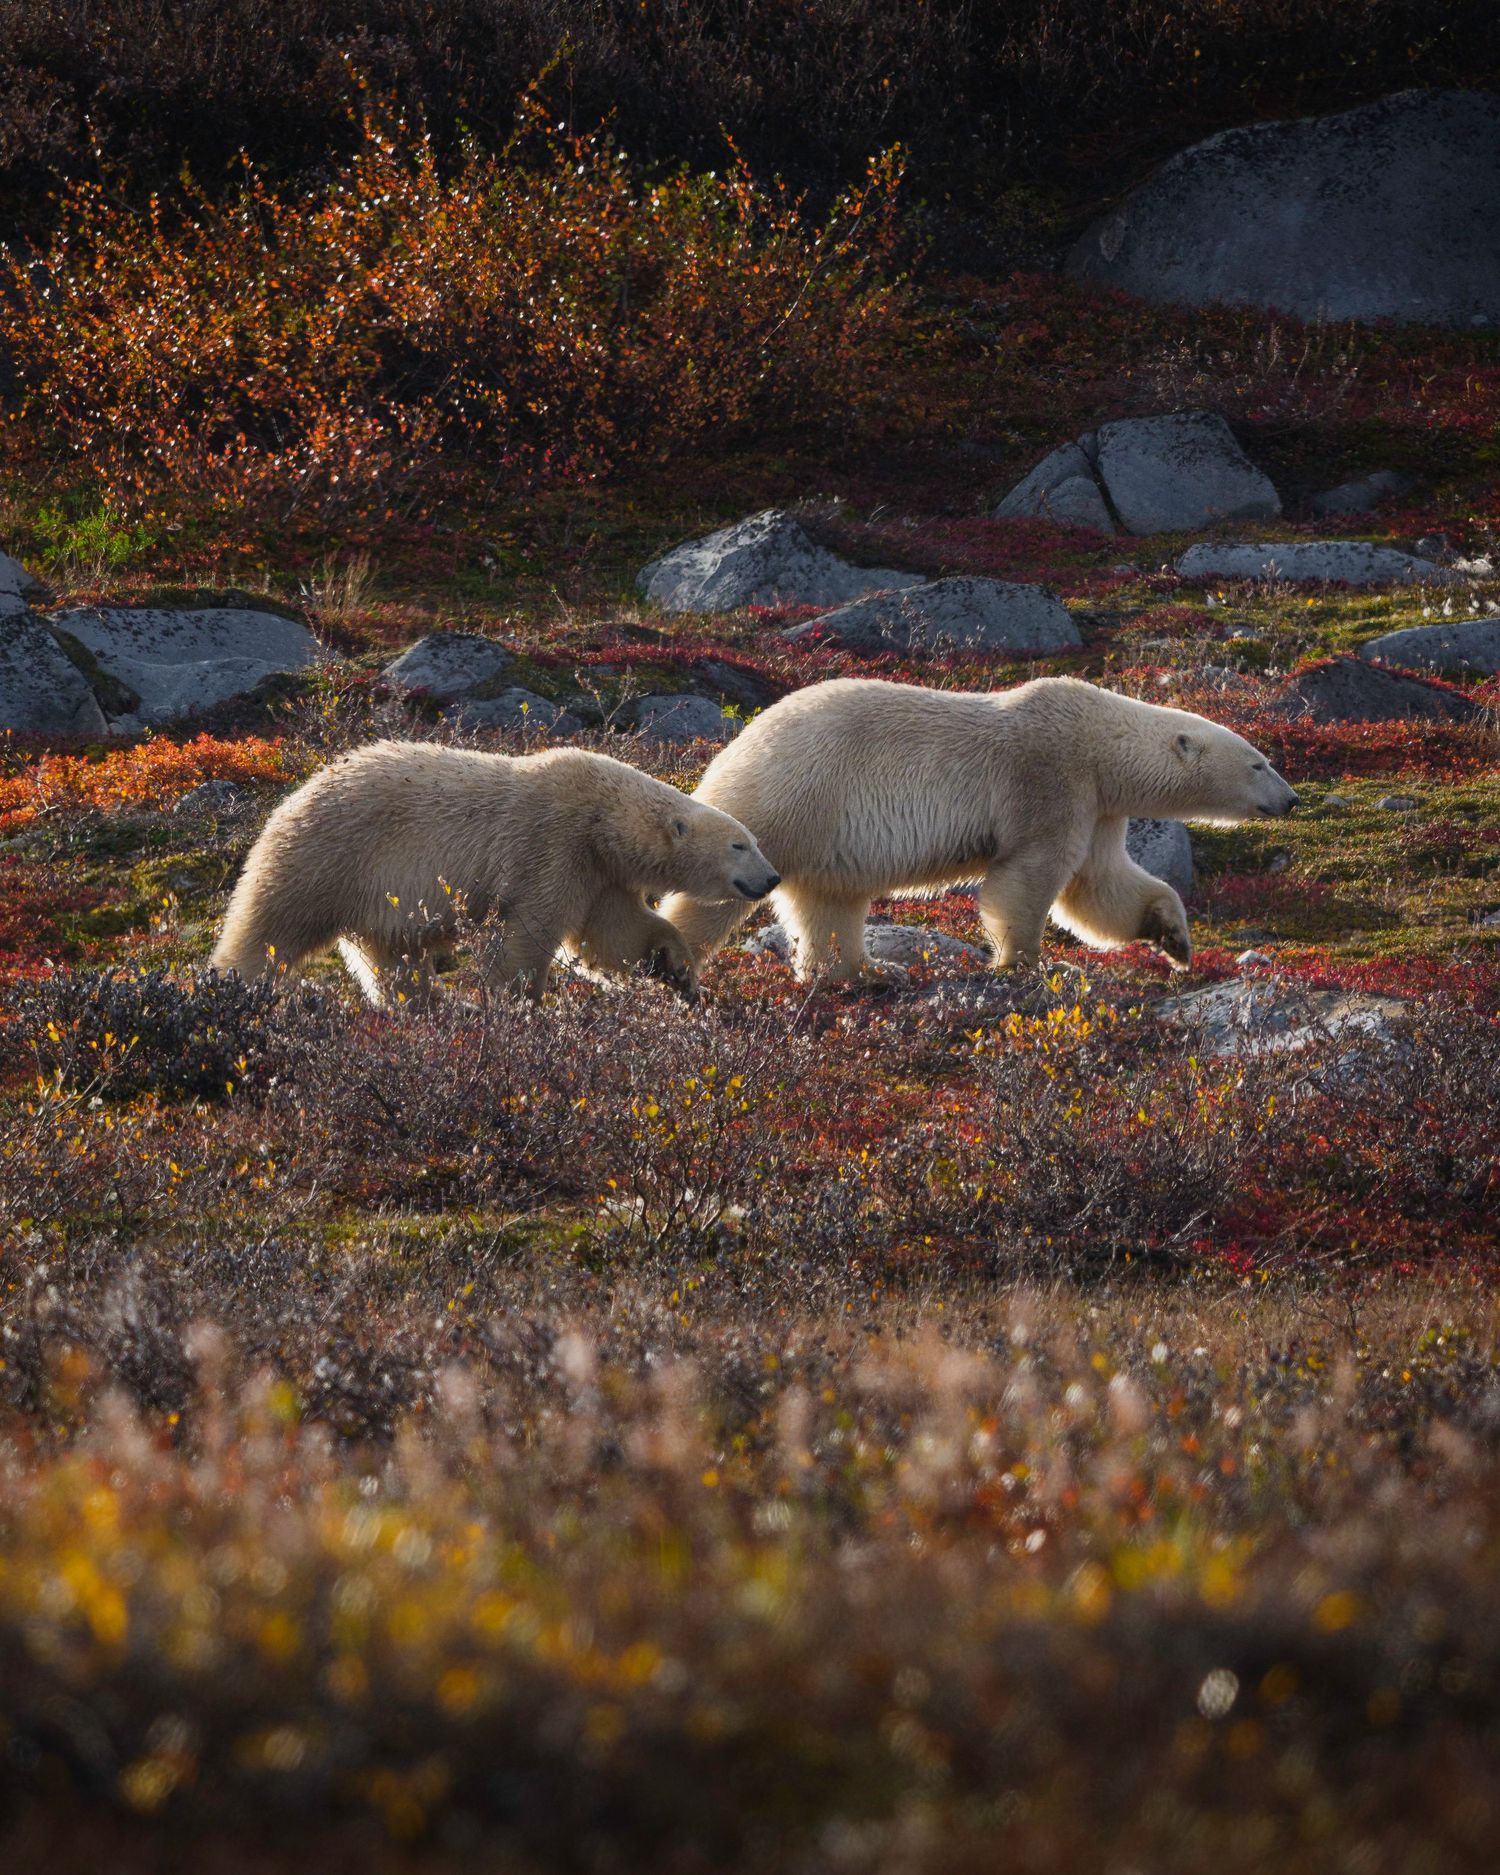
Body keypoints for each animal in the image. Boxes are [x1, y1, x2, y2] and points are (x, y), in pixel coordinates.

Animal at [212, 740, 780, 1006]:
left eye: (755, 841)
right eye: (740, 844)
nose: (772, 879)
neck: (603, 818)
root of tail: (291, 798)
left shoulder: (599, 873)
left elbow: (615, 936)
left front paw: (675, 967)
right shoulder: (555, 847)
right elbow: (531, 931)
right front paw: (519, 1003)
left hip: (373, 897)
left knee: (392, 958)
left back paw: (426, 1008)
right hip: (327, 858)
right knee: (271, 928)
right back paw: (233, 986)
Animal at [658, 676, 1298, 982]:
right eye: (1259, 763)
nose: (1291, 799)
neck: (1098, 742)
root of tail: (732, 748)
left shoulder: (1098, 807)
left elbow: (1100, 885)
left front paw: (1174, 939)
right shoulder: (1050, 779)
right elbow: (1031, 876)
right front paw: (1037, 962)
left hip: (822, 830)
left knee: (829, 903)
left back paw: (868, 973)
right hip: (786, 799)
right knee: (713, 894)